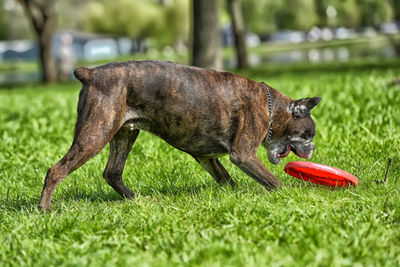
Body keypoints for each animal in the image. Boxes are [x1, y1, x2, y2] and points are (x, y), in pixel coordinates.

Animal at [39, 61, 320, 211]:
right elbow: (274, 181)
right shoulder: (244, 154)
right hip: (95, 134)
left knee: (112, 172)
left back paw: (136, 200)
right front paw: (290, 195)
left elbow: (227, 180)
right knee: (56, 170)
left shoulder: (207, 158)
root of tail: (92, 72)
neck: (272, 107)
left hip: (124, 134)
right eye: (308, 134)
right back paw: (44, 209)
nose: (313, 148)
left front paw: (235, 195)